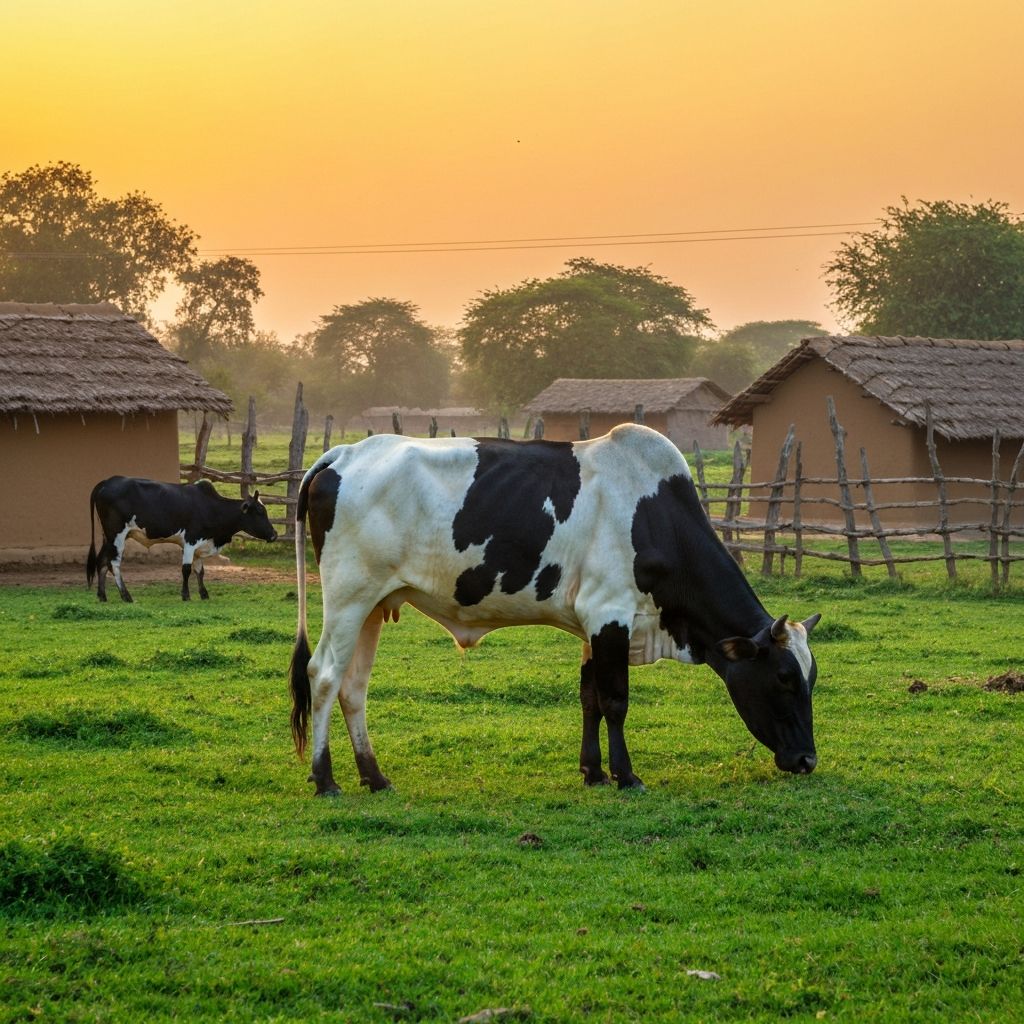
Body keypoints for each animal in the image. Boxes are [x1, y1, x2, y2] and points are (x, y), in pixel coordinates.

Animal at [86, 476, 278, 602]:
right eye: (260, 512)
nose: (274, 534)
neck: (210, 507)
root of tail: (106, 482)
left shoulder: (200, 545)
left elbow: (200, 571)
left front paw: (204, 594)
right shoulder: (190, 541)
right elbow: (186, 569)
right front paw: (186, 595)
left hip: (107, 537)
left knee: (101, 561)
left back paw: (102, 595)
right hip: (117, 535)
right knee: (114, 564)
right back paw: (126, 595)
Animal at [288, 424, 821, 796]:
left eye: (811, 679)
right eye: (783, 678)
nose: (808, 761)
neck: (655, 515)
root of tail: (344, 453)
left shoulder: (594, 624)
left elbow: (589, 698)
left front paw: (593, 772)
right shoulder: (610, 612)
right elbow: (616, 700)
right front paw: (626, 776)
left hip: (374, 605)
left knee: (354, 687)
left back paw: (374, 777)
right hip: (348, 597)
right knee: (324, 675)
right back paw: (325, 779)